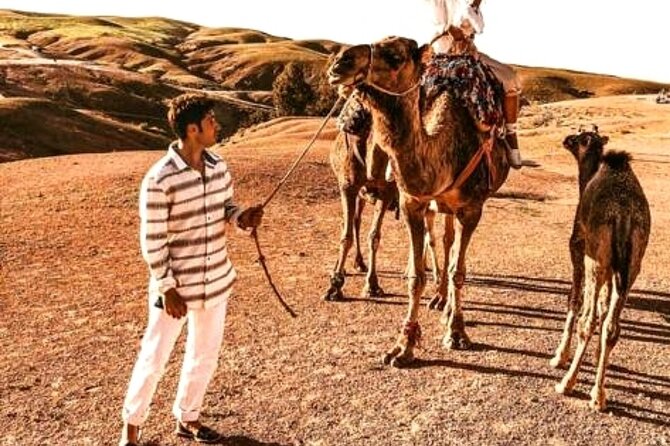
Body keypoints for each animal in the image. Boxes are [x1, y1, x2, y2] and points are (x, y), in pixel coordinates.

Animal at [327, 36, 511, 366]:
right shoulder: (411, 202)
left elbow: (458, 272)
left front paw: (456, 332)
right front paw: (403, 346)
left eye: (396, 56)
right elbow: (415, 276)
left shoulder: (471, 209)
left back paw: (445, 306)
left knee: (449, 246)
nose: (340, 62)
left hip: (452, 207)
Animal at [551, 128, 651, 411]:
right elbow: (605, 309)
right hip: (632, 265)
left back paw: (567, 383)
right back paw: (598, 393)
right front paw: (597, 358)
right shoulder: (615, 270)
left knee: (588, 320)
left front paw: (559, 356)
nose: (565, 139)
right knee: (611, 326)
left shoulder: (577, 246)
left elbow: (573, 299)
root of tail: (624, 217)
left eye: (577, 137)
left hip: (595, 260)